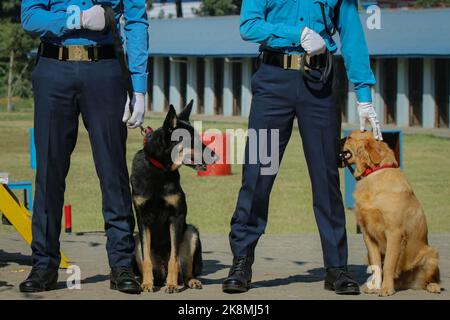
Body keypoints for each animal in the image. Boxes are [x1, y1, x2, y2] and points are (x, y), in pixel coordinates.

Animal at [130, 100, 216, 292]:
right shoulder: (143, 220)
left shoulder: (176, 218)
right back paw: (147, 280)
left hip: (191, 233)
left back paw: (188, 281)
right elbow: (147, 259)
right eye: (193, 140)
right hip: (137, 240)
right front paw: (147, 283)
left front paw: (171, 284)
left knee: (185, 271)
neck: (160, 170)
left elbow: (174, 260)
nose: (216, 156)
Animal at [342, 131, 440, 296]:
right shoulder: (368, 234)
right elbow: (377, 264)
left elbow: (388, 263)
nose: (339, 138)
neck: (374, 173)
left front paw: (386, 288)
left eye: (349, 137)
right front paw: (375, 286)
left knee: (429, 279)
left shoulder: (394, 232)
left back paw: (434, 286)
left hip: (431, 254)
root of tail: (407, 283)